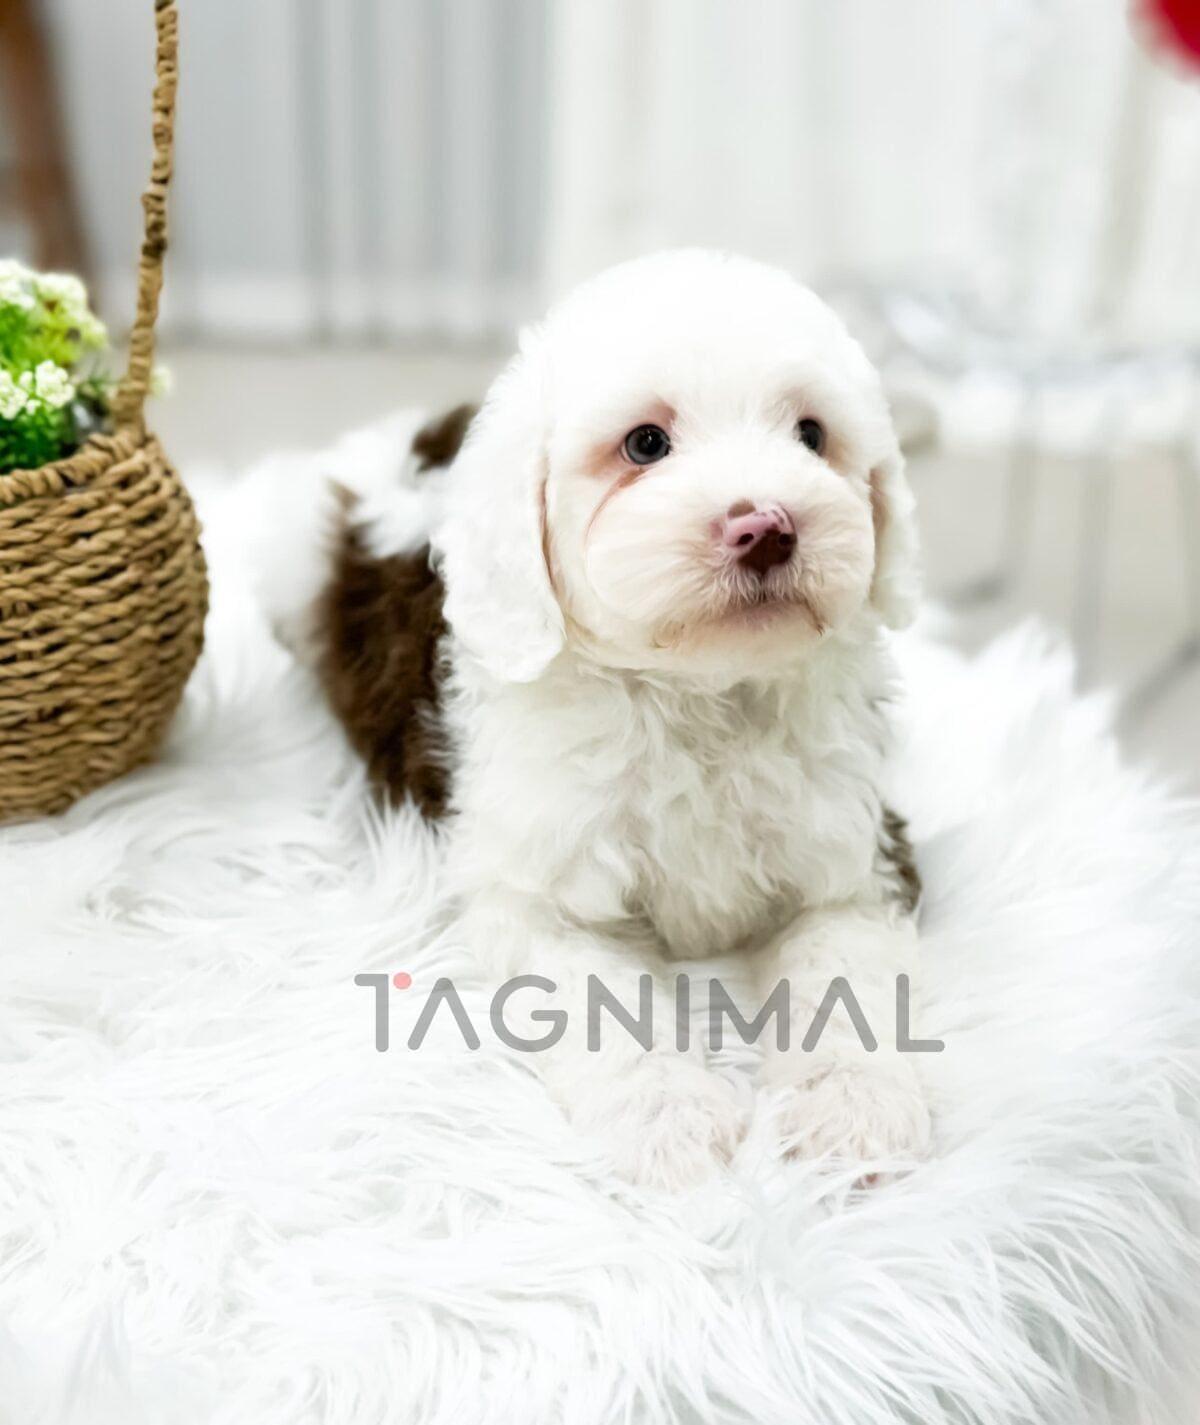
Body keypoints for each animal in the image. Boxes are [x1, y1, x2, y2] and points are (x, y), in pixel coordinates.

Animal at [256, 250, 930, 1189]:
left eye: (811, 434)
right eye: (645, 443)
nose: (766, 526)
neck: (698, 694)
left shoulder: (858, 849)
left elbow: (846, 964)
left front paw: (853, 1109)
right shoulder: (538, 893)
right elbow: (593, 997)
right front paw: (669, 1117)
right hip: (289, 555)